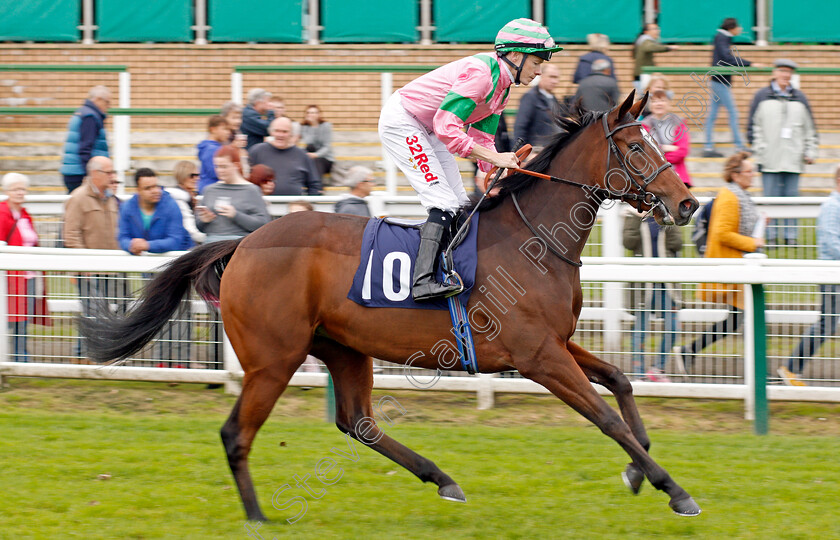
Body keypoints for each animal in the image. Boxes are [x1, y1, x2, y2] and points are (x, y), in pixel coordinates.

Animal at [83, 90, 704, 520]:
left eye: (656, 142)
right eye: (635, 146)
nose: (689, 204)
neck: (533, 241)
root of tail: (244, 242)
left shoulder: (556, 343)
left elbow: (620, 383)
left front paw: (637, 470)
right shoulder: (538, 357)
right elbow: (605, 417)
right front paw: (673, 489)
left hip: (342, 347)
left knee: (357, 422)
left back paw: (442, 478)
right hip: (273, 358)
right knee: (239, 433)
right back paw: (258, 516)